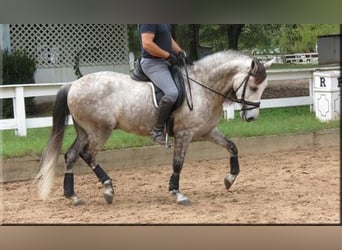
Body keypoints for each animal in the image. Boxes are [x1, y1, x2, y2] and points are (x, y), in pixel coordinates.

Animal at [36, 49, 272, 206]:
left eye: (263, 87)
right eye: (253, 87)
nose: (252, 117)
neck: (203, 86)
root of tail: (73, 85)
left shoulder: (207, 131)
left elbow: (232, 147)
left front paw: (229, 179)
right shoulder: (184, 134)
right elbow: (178, 164)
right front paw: (177, 193)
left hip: (85, 131)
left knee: (71, 155)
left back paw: (73, 196)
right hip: (100, 130)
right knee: (87, 154)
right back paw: (108, 189)